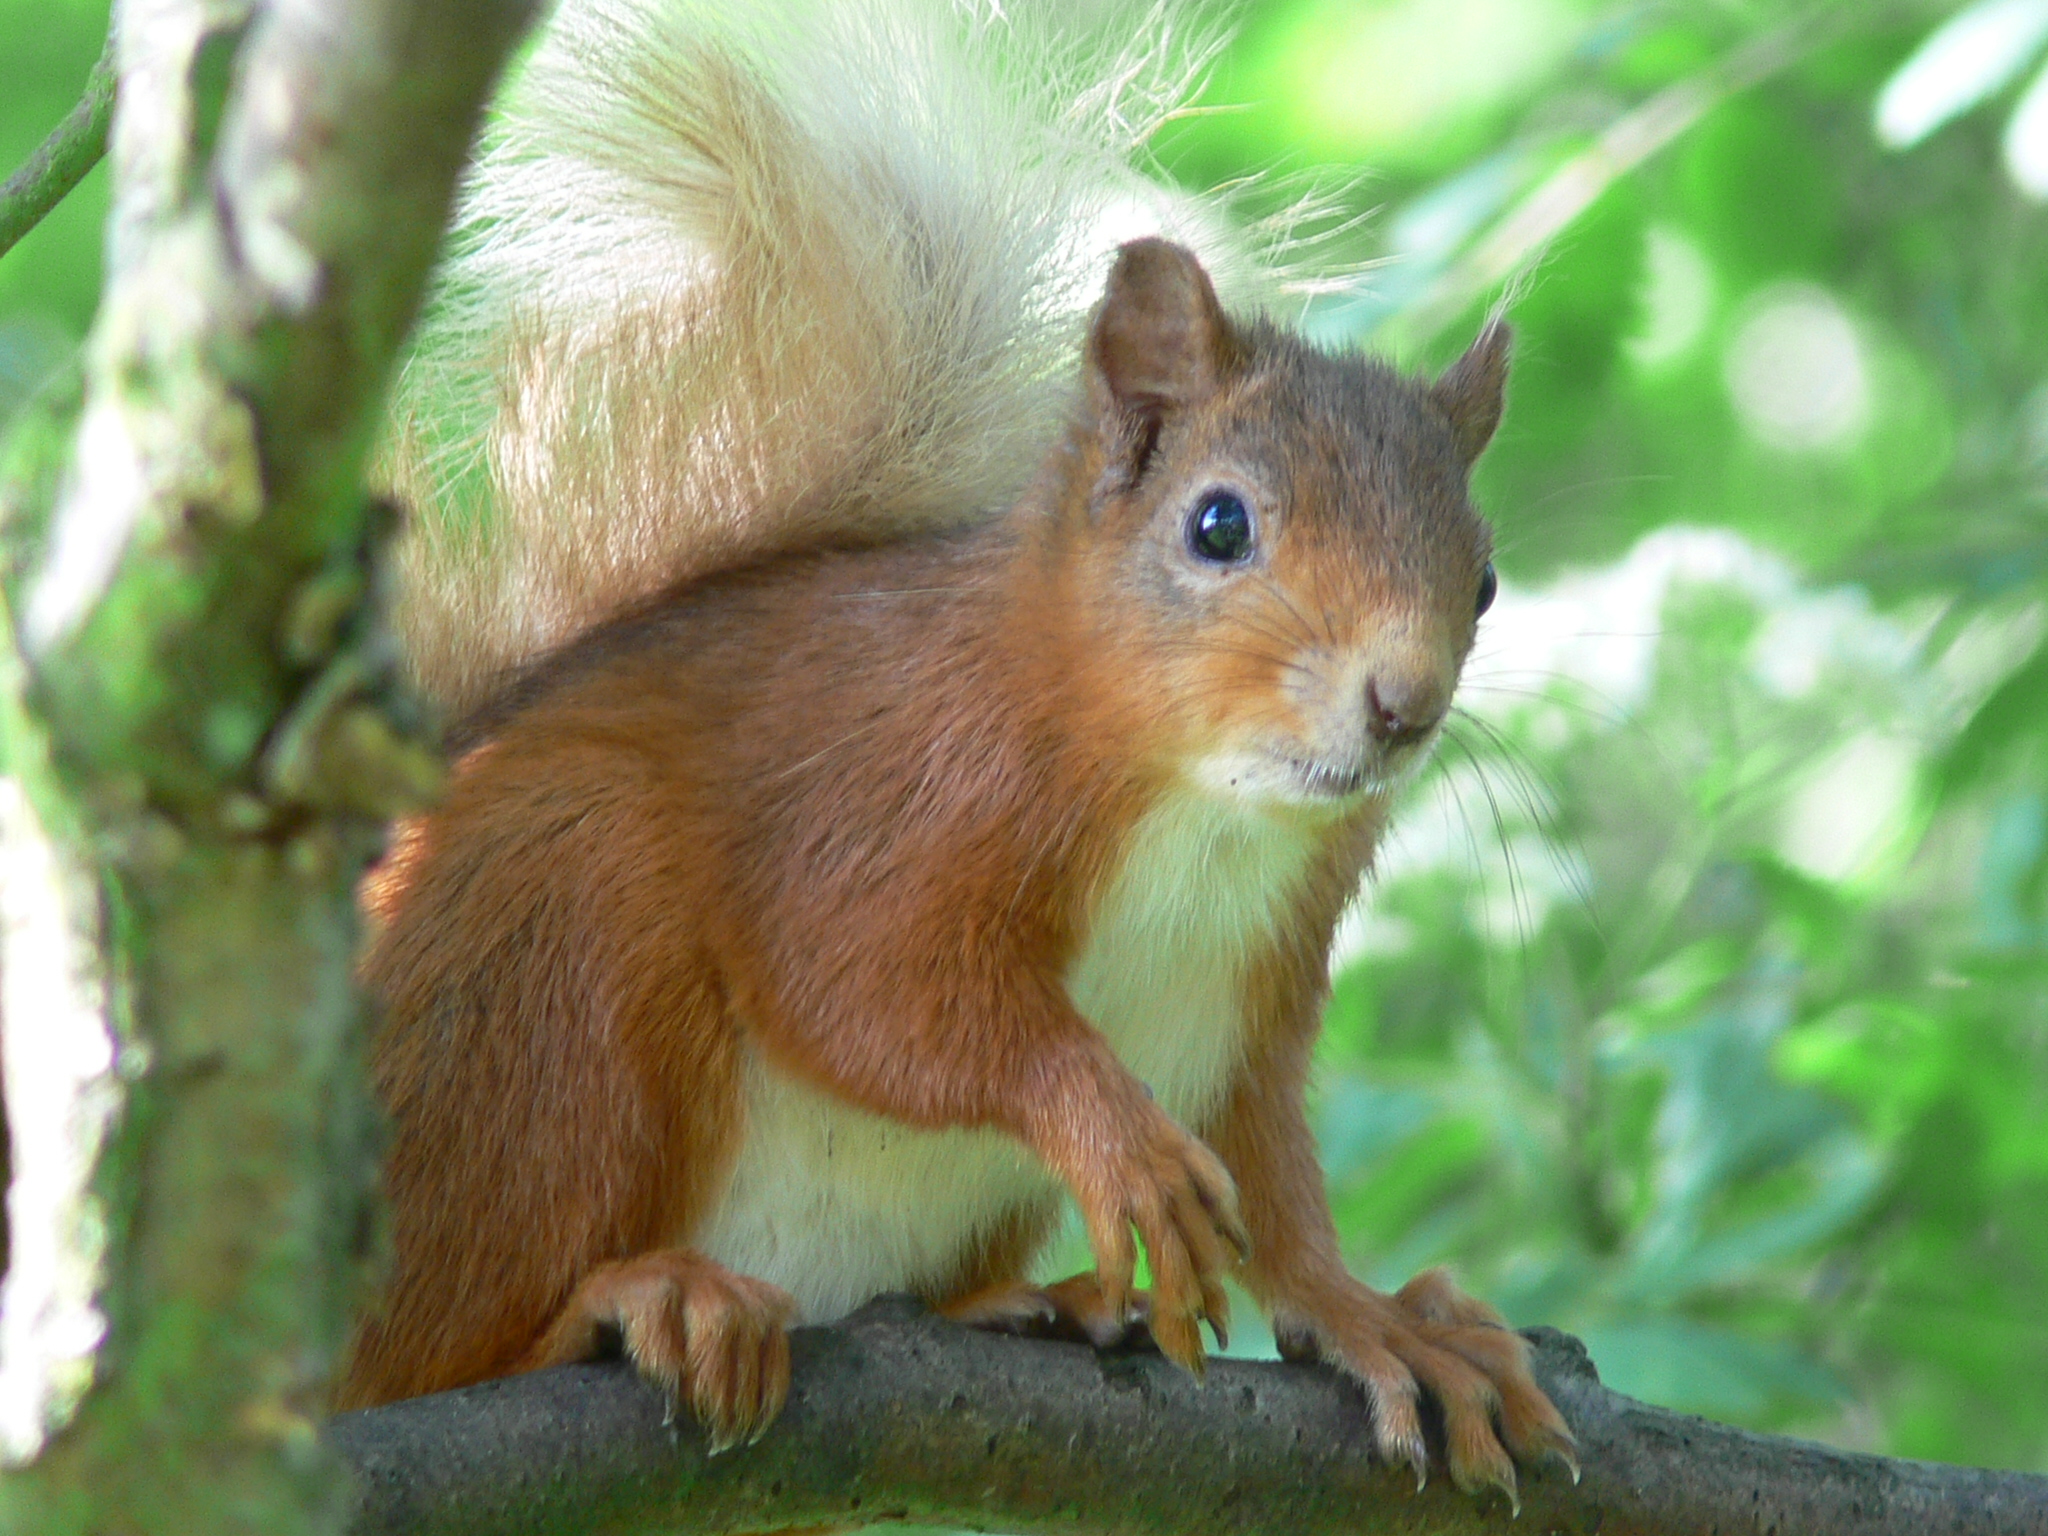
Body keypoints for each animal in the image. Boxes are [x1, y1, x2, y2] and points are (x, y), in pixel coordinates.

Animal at [344, 0, 1572, 1507]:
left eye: (1487, 581)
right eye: (1218, 526)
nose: (1402, 703)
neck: (1201, 812)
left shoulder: (1253, 995)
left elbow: (1275, 1168)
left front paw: (1372, 1317)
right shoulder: (896, 779)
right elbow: (869, 988)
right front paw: (1110, 1130)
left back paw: (1025, 1307)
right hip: (543, 967)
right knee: (442, 1340)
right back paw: (633, 1302)